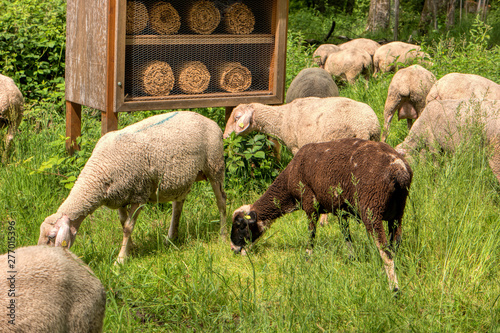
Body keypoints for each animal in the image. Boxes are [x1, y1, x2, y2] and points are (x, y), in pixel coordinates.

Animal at [38, 111, 227, 262]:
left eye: (51, 237)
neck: (98, 174)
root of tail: (208, 120)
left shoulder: (139, 195)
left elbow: (128, 227)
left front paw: (121, 259)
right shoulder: (119, 197)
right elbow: (123, 223)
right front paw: (131, 248)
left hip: (215, 165)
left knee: (221, 201)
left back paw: (223, 235)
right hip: (180, 178)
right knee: (178, 204)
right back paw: (171, 237)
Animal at [229, 138, 412, 290]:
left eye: (240, 225)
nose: (234, 250)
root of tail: (399, 170)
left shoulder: (310, 203)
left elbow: (311, 233)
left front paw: (307, 258)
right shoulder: (340, 209)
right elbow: (346, 235)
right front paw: (351, 257)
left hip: (372, 209)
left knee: (385, 251)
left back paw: (394, 289)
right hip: (397, 213)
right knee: (394, 244)